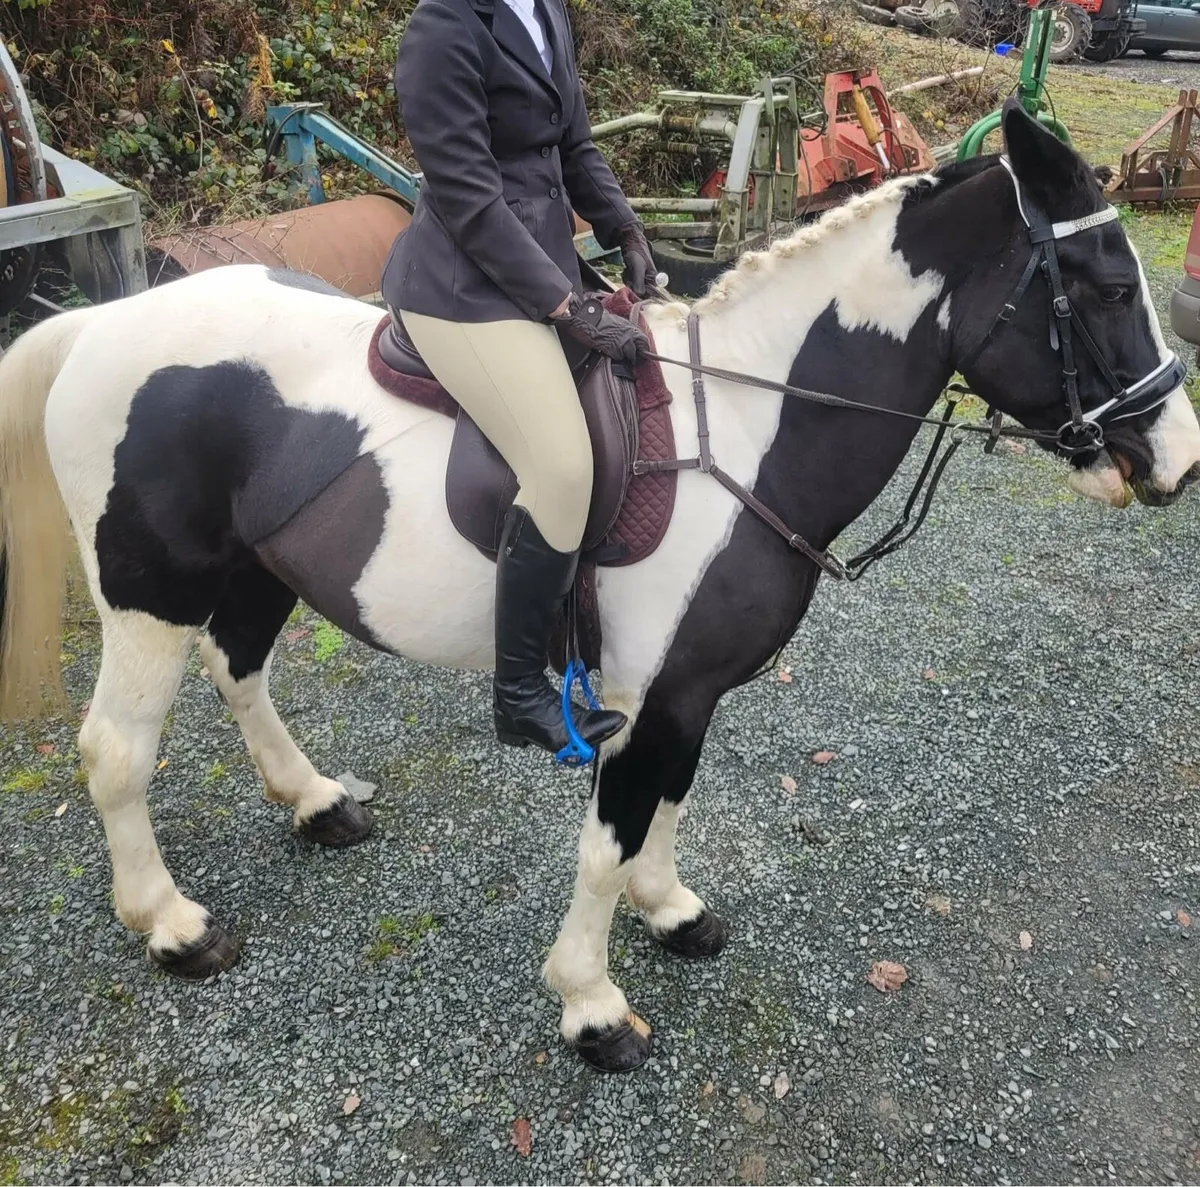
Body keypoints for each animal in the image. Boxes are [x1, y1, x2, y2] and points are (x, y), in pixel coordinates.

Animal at [2, 103, 1198, 1073]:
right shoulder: (641, 695)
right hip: (148, 595)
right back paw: (172, 924)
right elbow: (607, 839)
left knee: (238, 666)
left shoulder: (690, 691)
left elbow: (669, 802)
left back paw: (314, 802)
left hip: (258, 568)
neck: (752, 425)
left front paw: (670, 912)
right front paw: (592, 1005)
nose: (1178, 460)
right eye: (1102, 286)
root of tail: (99, 324)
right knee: (118, 750)